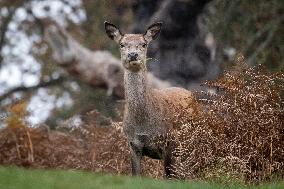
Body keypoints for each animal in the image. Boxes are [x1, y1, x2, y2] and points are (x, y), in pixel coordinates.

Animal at [104, 21, 197, 178]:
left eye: (143, 44)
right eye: (122, 44)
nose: (133, 55)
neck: (144, 126)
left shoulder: (169, 142)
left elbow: (169, 177)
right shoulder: (133, 144)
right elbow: (135, 174)